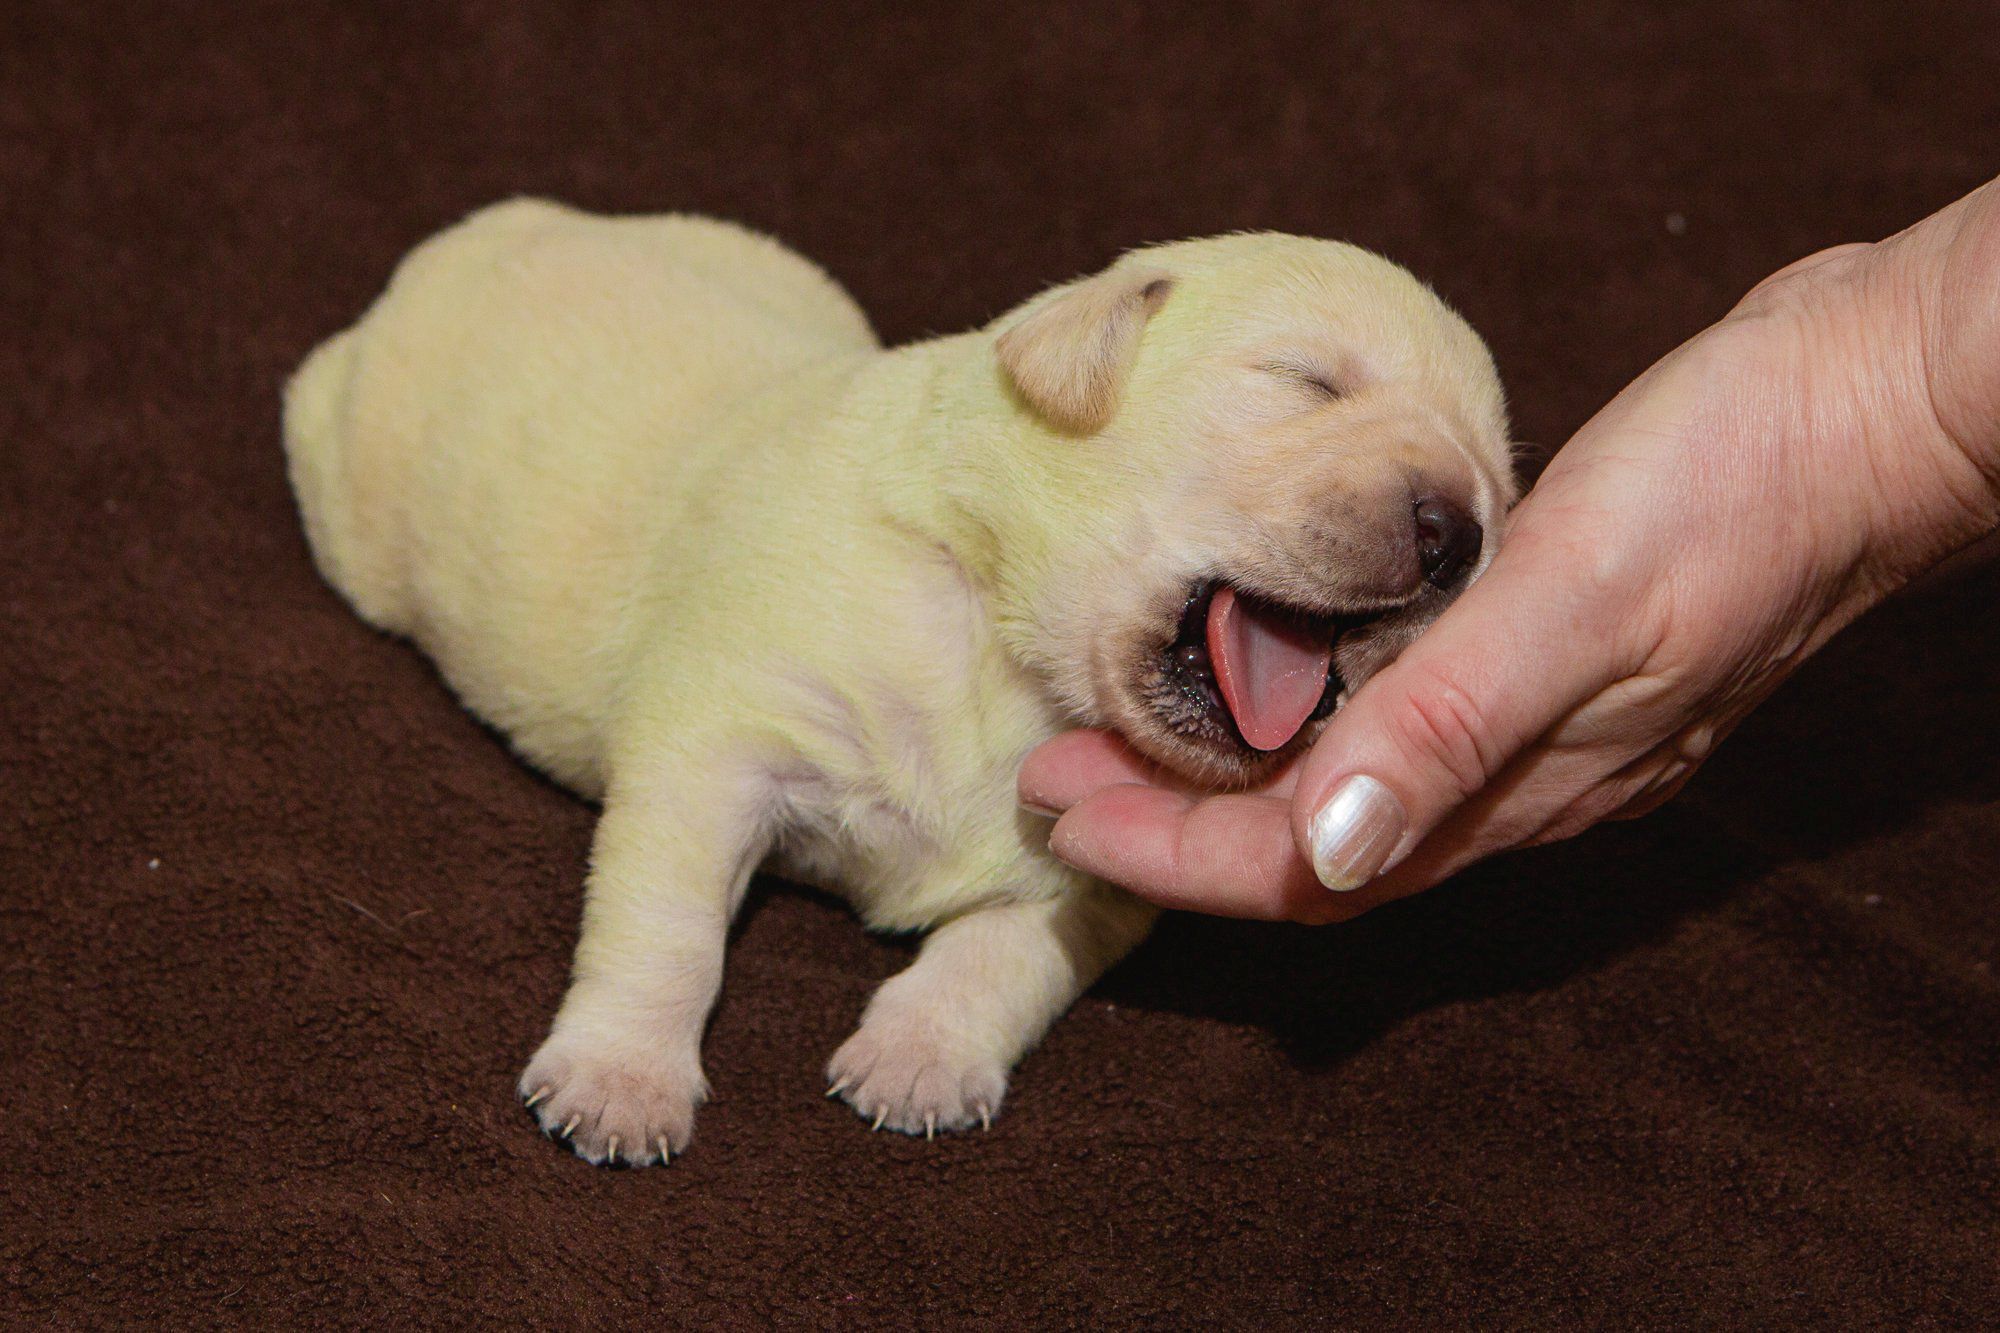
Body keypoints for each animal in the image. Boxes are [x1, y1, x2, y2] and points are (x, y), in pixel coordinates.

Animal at [286, 200, 1512, 1160]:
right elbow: (667, 923)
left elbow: (1007, 950)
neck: (1007, 648)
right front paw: (619, 1081)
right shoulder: (717, 736)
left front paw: (918, 1060)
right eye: (1308, 381)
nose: (1456, 535)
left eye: (1500, 482)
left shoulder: (1093, 871)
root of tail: (494, 227)